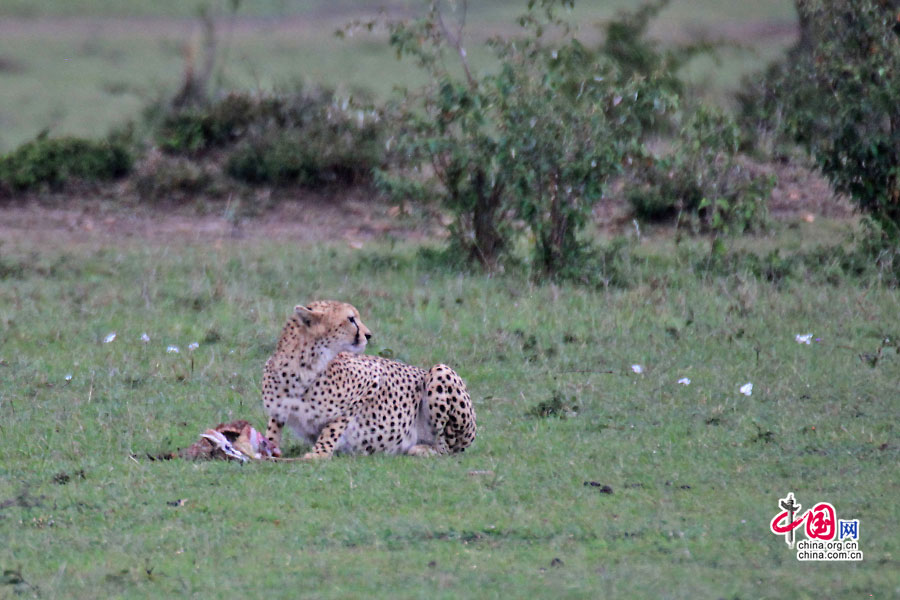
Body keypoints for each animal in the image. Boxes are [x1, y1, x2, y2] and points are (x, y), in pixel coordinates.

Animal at [262, 300, 478, 460]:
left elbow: (334, 425)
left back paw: (423, 449)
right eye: (351, 319)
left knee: (447, 446)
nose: (368, 335)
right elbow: (274, 426)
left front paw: (319, 452)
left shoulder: (373, 377)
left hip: (441, 371)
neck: (304, 367)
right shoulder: (278, 408)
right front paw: (266, 447)